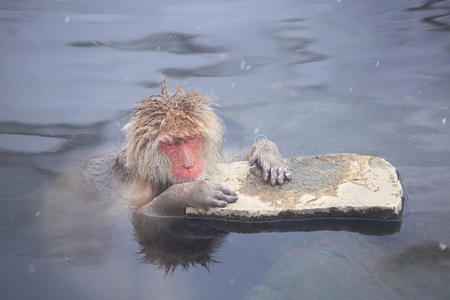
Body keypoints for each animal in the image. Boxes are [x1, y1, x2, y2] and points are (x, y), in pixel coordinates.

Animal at [109, 79, 292, 216]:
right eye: (171, 143)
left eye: (191, 138)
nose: (189, 164)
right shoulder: (136, 190)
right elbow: (141, 217)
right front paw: (191, 192)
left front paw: (267, 154)